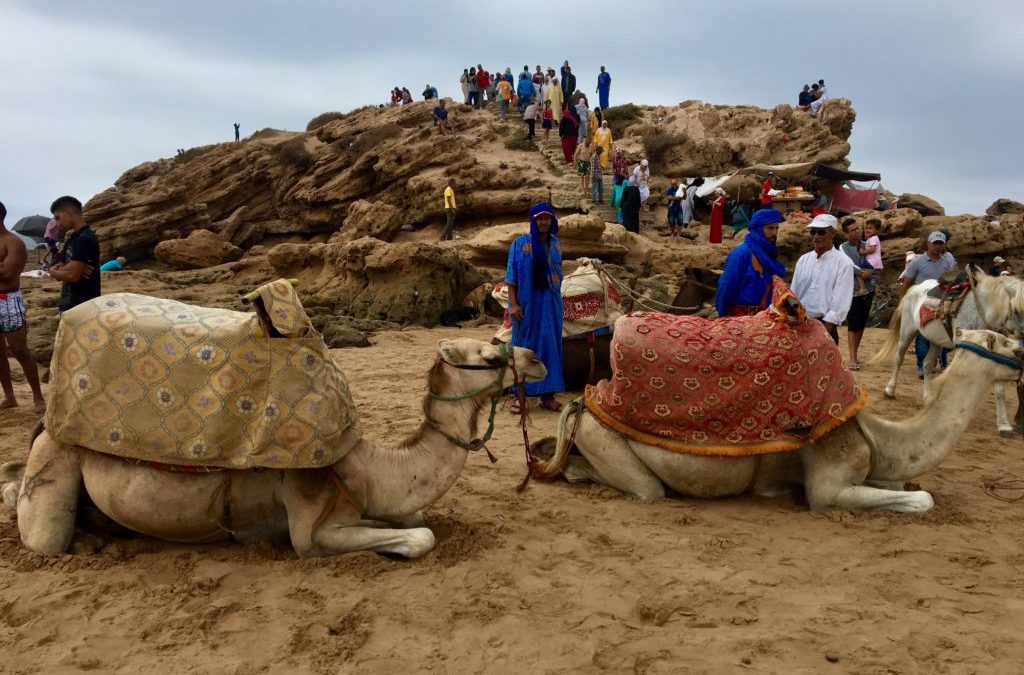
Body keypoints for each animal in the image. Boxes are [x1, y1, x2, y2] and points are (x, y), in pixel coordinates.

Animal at [2, 340, 544, 557]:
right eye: (489, 355)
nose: (537, 359)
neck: (369, 466)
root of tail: (44, 425)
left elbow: (415, 519)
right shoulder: (310, 527)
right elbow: (421, 536)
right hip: (54, 459)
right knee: (40, 531)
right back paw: (86, 543)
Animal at [532, 280, 1019, 512]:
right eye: (1002, 341)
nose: (1022, 350)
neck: (878, 435)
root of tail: (589, 400)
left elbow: (904, 486)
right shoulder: (828, 486)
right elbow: (920, 498)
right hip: (608, 443)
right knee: (634, 485)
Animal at [872, 268, 1024, 438]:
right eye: (1016, 310)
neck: (981, 310)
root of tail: (915, 288)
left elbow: (999, 390)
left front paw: (1004, 425)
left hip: (935, 340)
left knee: (927, 364)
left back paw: (928, 397)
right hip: (907, 331)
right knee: (899, 358)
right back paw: (890, 390)